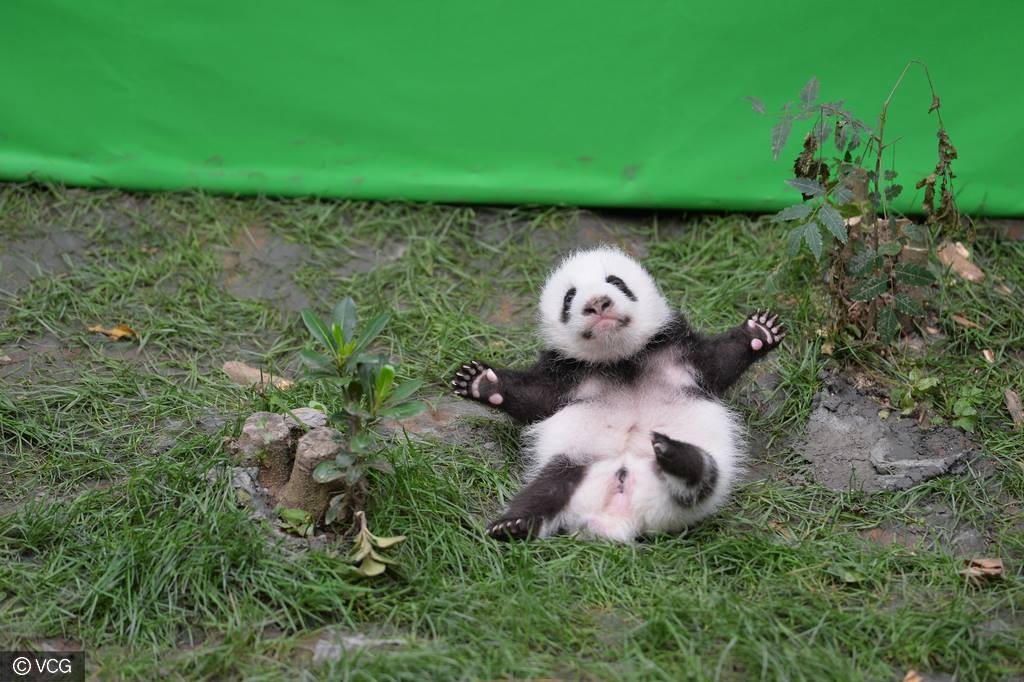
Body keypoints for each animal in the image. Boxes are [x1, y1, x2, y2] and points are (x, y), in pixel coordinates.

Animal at [451, 246, 784, 542]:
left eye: (616, 282)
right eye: (569, 297)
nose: (598, 303)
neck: (619, 359)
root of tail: (621, 516)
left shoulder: (674, 351)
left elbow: (717, 363)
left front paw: (760, 332)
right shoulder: (569, 374)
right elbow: (536, 397)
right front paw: (481, 382)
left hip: (697, 487)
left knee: (703, 476)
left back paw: (673, 453)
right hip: (573, 464)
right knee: (542, 493)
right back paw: (512, 524)